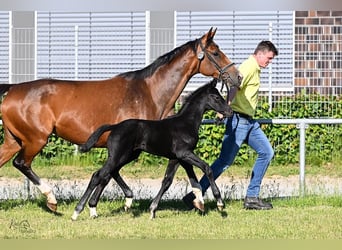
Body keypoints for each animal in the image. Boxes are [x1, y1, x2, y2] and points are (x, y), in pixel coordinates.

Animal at [72, 78, 232, 221]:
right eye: (217, 97)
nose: (229, 111)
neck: (186, 123)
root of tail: (115, 126)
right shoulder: (185, 153)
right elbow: (207, 168)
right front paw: (220, 203)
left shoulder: (178, 158)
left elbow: (173, 181)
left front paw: (197, 203)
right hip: (118, 155)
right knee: (98, 175)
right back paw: (77, 212)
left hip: (128, 155)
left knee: (111, 172)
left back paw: (105, 206)